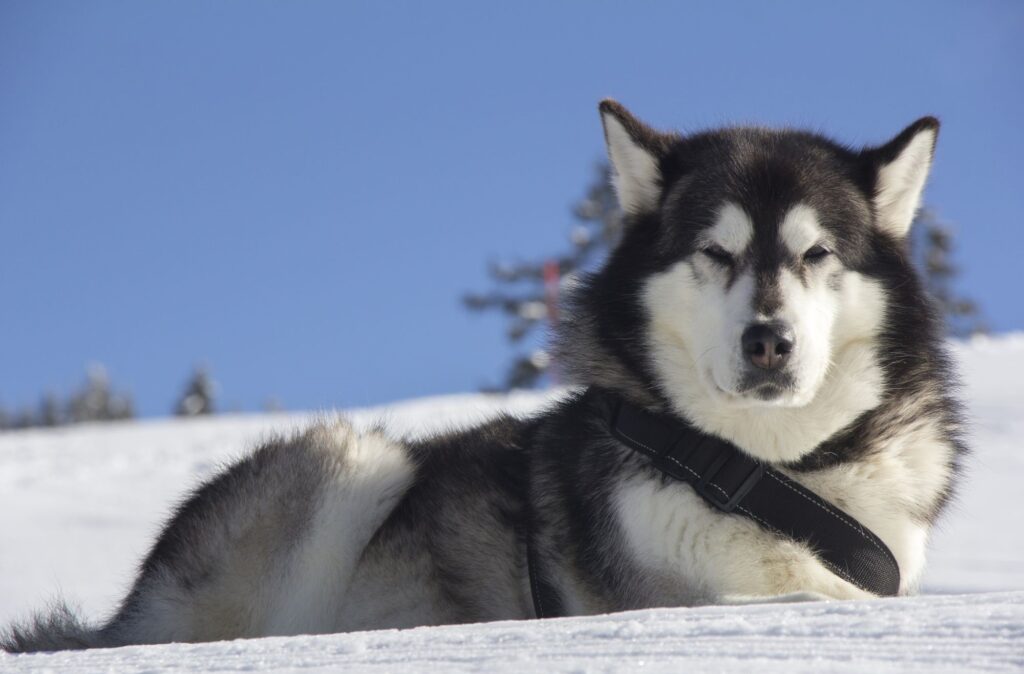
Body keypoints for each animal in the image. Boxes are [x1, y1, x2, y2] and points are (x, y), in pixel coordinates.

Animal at [2, 100, 958, 651]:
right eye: (715, 253)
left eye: (815, 254)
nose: (770, 342)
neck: (763, 470)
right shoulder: (667, 594)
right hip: (352, 458)